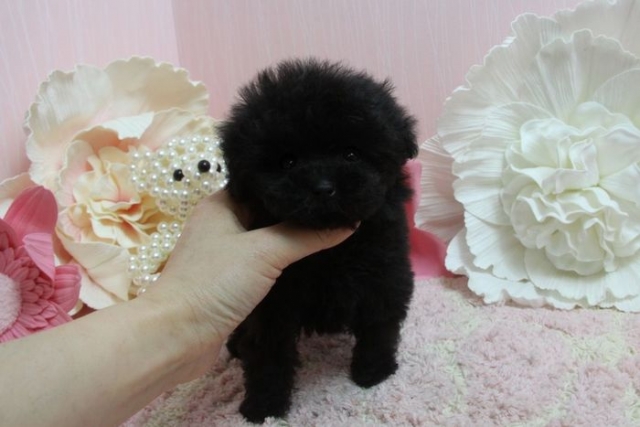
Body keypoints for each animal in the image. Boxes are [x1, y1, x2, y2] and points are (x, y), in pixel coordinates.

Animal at [219, 58, 417, 423]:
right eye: (288, 161)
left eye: (351, 154)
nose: (324, 187)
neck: (330, 254)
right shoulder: (270, 298)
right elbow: (267, 348)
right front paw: (264, 406)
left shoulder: (385, 273)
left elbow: (379, 322)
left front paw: (374, 371)